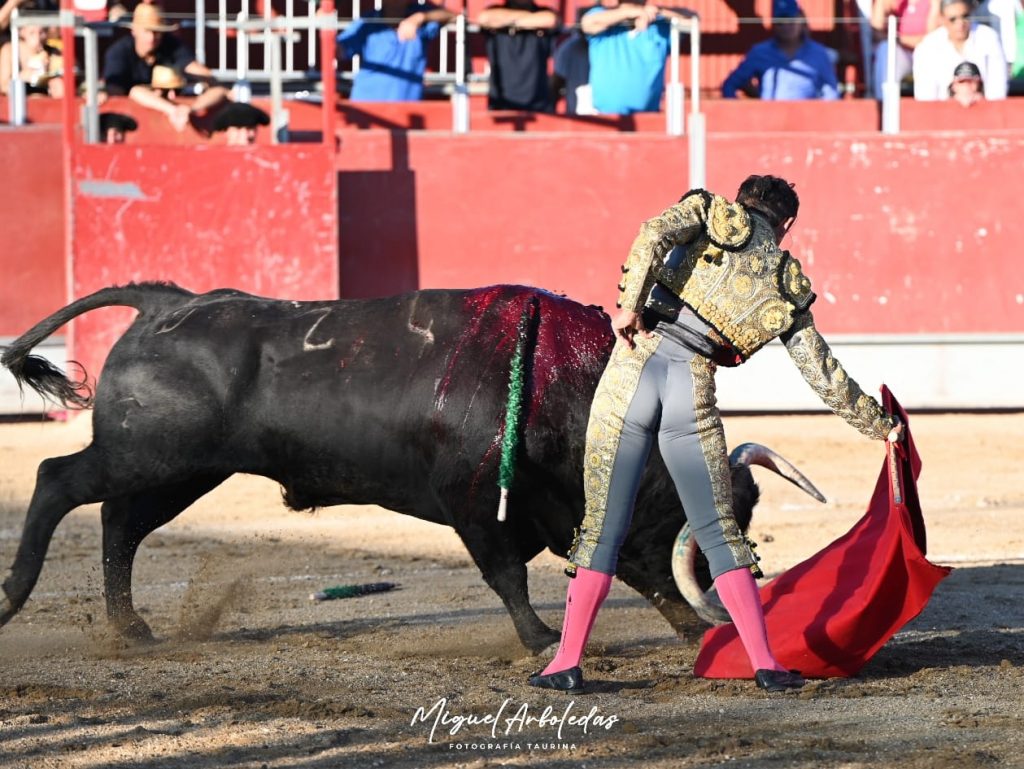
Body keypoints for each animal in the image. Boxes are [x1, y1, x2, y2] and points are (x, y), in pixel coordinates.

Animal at [2, 284, 761, 655]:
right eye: (674, 513)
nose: (719, 613)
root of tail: (168, 302)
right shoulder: (473, 506)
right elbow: (507, 575)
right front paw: (541, 638)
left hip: (180, 469)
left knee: (119, 524)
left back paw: (130, 628)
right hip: (150, 454)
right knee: (58, 481)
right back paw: (14, 596)